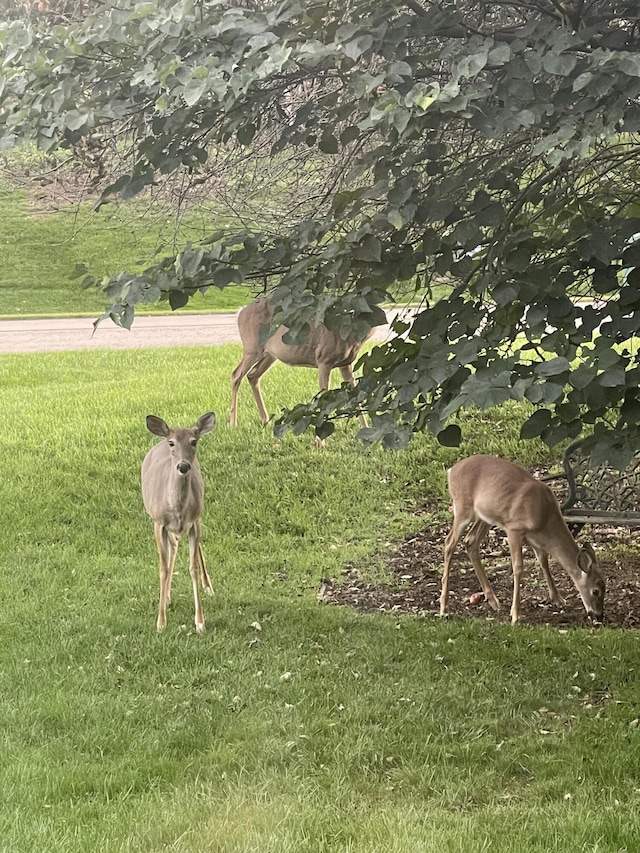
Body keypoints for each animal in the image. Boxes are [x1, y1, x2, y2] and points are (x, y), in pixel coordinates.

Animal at [141, 412, 218, 632]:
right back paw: (166, 597)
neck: (178, 508)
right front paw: (160, 622)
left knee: (192, 548)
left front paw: (200, 622)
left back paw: (208, 587)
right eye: (172, 443)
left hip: (197, 518)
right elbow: (163, 569)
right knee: (173, 547)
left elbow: (193, 568)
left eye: (194, 441)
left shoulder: (193, 523)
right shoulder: (158, 523)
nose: (183, 466)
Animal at [230, 298, 376, 430]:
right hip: (252, 348)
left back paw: (266, 420)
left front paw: (365, 430)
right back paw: (233, 424)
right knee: (236, 374)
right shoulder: (323, 359)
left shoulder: (346, 363)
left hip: (269, 354)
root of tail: (240, 312)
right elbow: (323, 397)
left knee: (253, 375)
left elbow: (356, 397)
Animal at [440, 456, 604, 624]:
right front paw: (515, 615)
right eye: (596, 591)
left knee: (470, 541)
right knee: (449, 543)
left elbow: (543, 561)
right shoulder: (514, 528)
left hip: (485, 516)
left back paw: (493, 601)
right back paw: (444, 608)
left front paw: (558, 599)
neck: (544, 516)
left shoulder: (534, 538)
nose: (599, 615)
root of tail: (451, 470)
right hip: (462, 508)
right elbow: (518, 568)